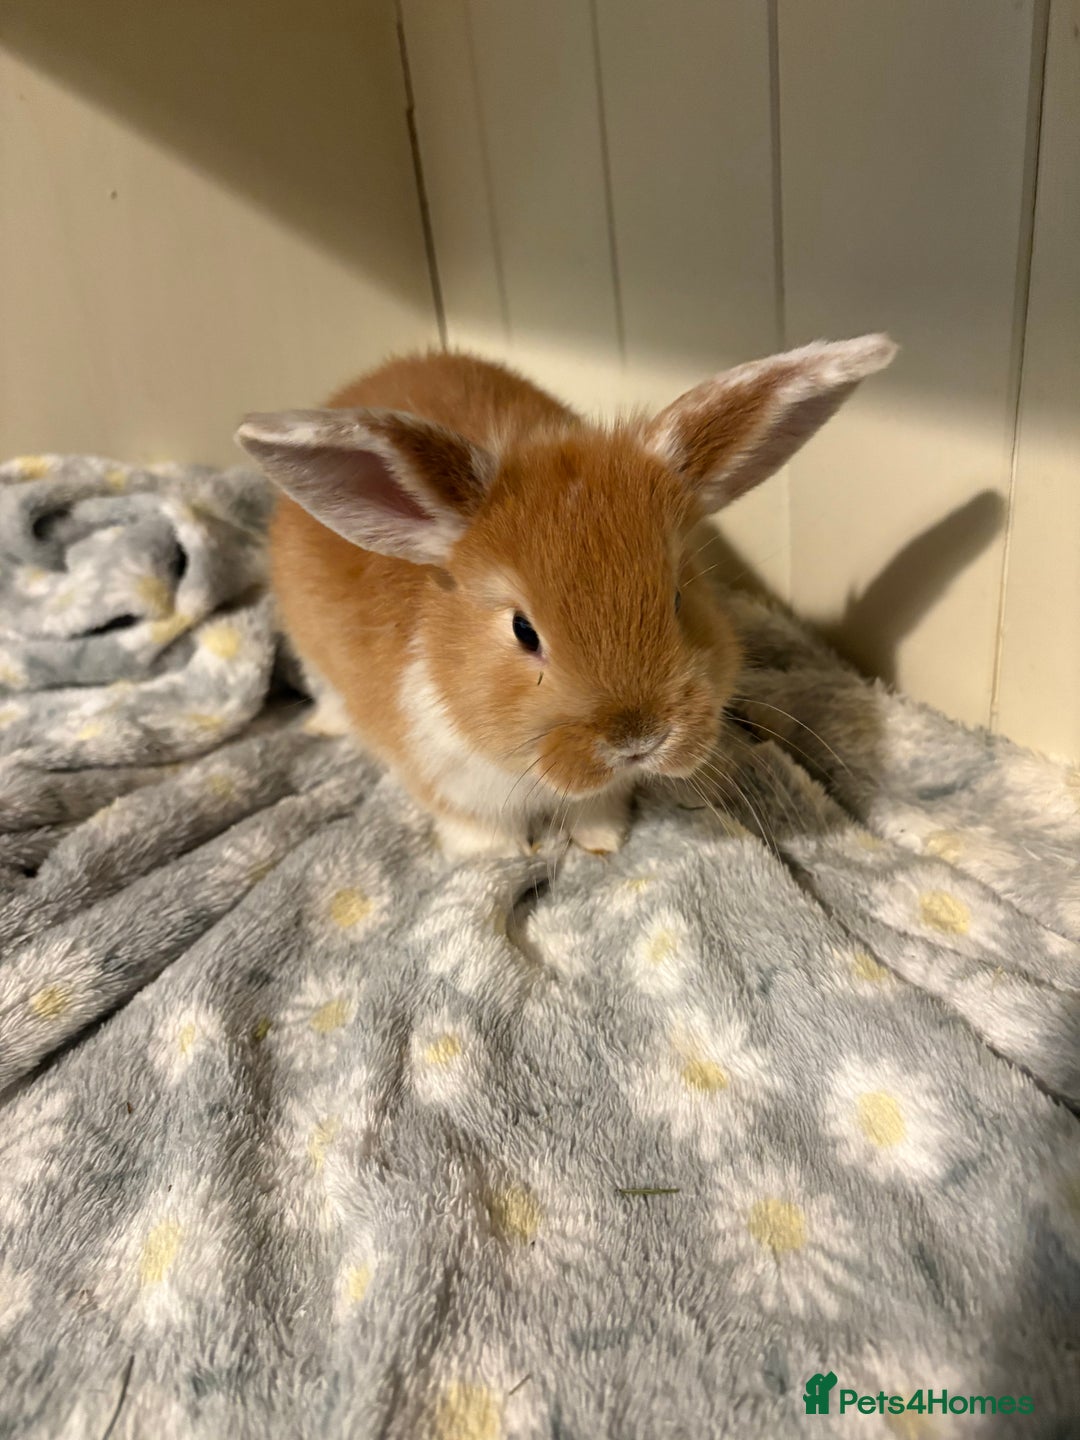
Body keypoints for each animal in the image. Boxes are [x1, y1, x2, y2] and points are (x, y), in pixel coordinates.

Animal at [236, 337, 894, 860]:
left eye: (678, 598)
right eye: (523, 631)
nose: (638, 740)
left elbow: (596, 811)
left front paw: (602, 843)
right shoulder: (446, 780)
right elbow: (477, 827)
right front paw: (496, 860)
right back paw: (326, 724)